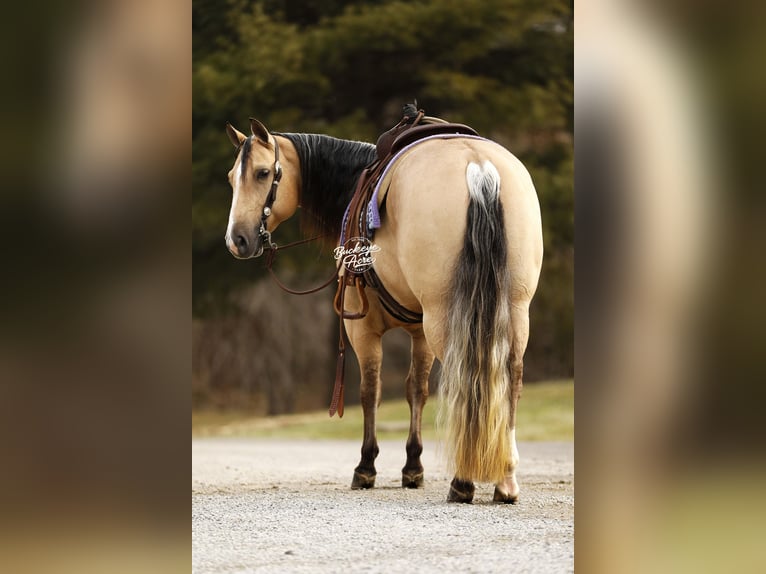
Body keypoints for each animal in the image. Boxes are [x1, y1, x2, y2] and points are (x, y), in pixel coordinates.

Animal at [224, 117, 543, 503]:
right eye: (231, 177)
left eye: (262, 173)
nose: (236, 240)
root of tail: (479, 168)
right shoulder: (420, 331)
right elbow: (416, 389)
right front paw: (412, 467)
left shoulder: (362, 327)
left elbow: (370, 391)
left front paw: (365, 467)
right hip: (514, 310)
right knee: (511, 379)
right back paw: (506, 480)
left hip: (446, 316)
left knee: (465, 379)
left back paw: (463, 481)